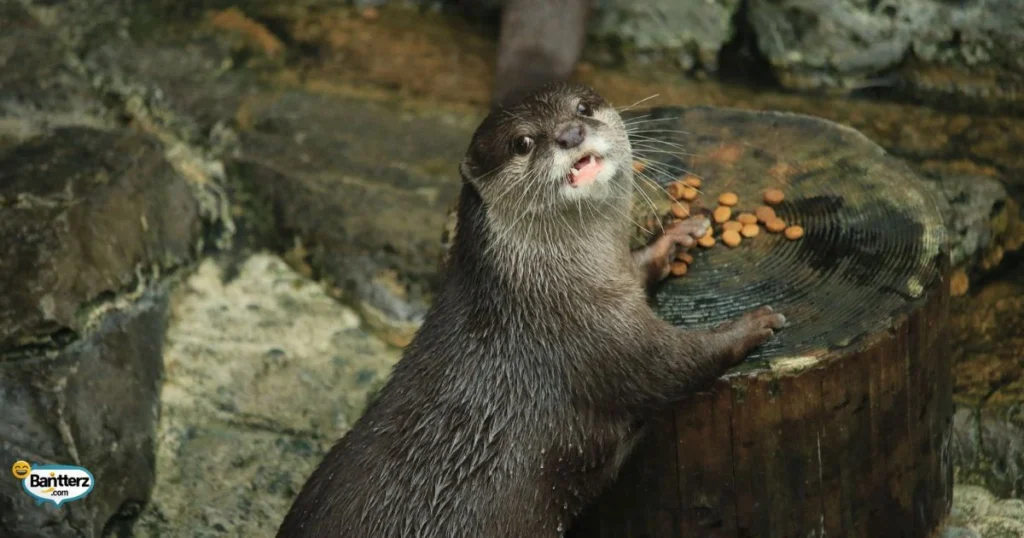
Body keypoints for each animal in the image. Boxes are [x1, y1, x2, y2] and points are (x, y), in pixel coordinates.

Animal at [276, 83, 785, 538]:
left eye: (583, 107)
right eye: (523, 143)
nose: (570, 134)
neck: (535, 295)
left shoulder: (614, 291)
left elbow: (639, 271)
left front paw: (680, 233)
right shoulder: (594, 338)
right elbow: (673, 366)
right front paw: (754, 323)